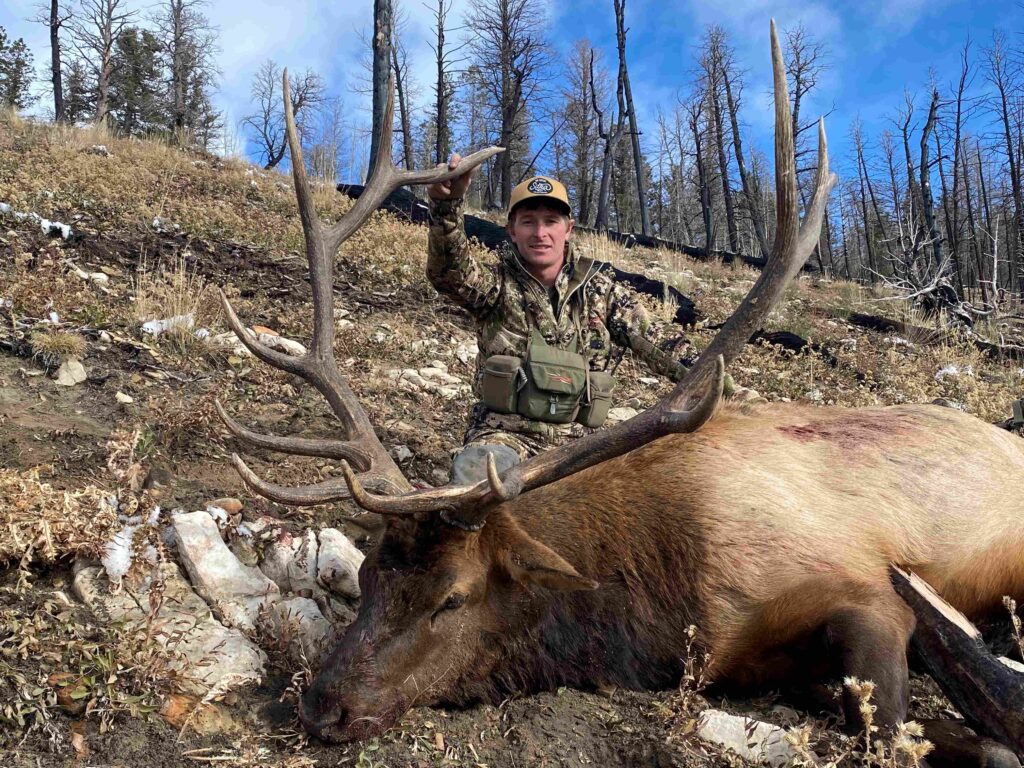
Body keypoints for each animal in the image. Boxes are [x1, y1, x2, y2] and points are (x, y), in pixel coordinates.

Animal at [216, 22, 1024, 757]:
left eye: (453, 598)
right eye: (369, 574)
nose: (322, 706)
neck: (659, 602)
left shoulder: (866, 590)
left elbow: (894, 728)